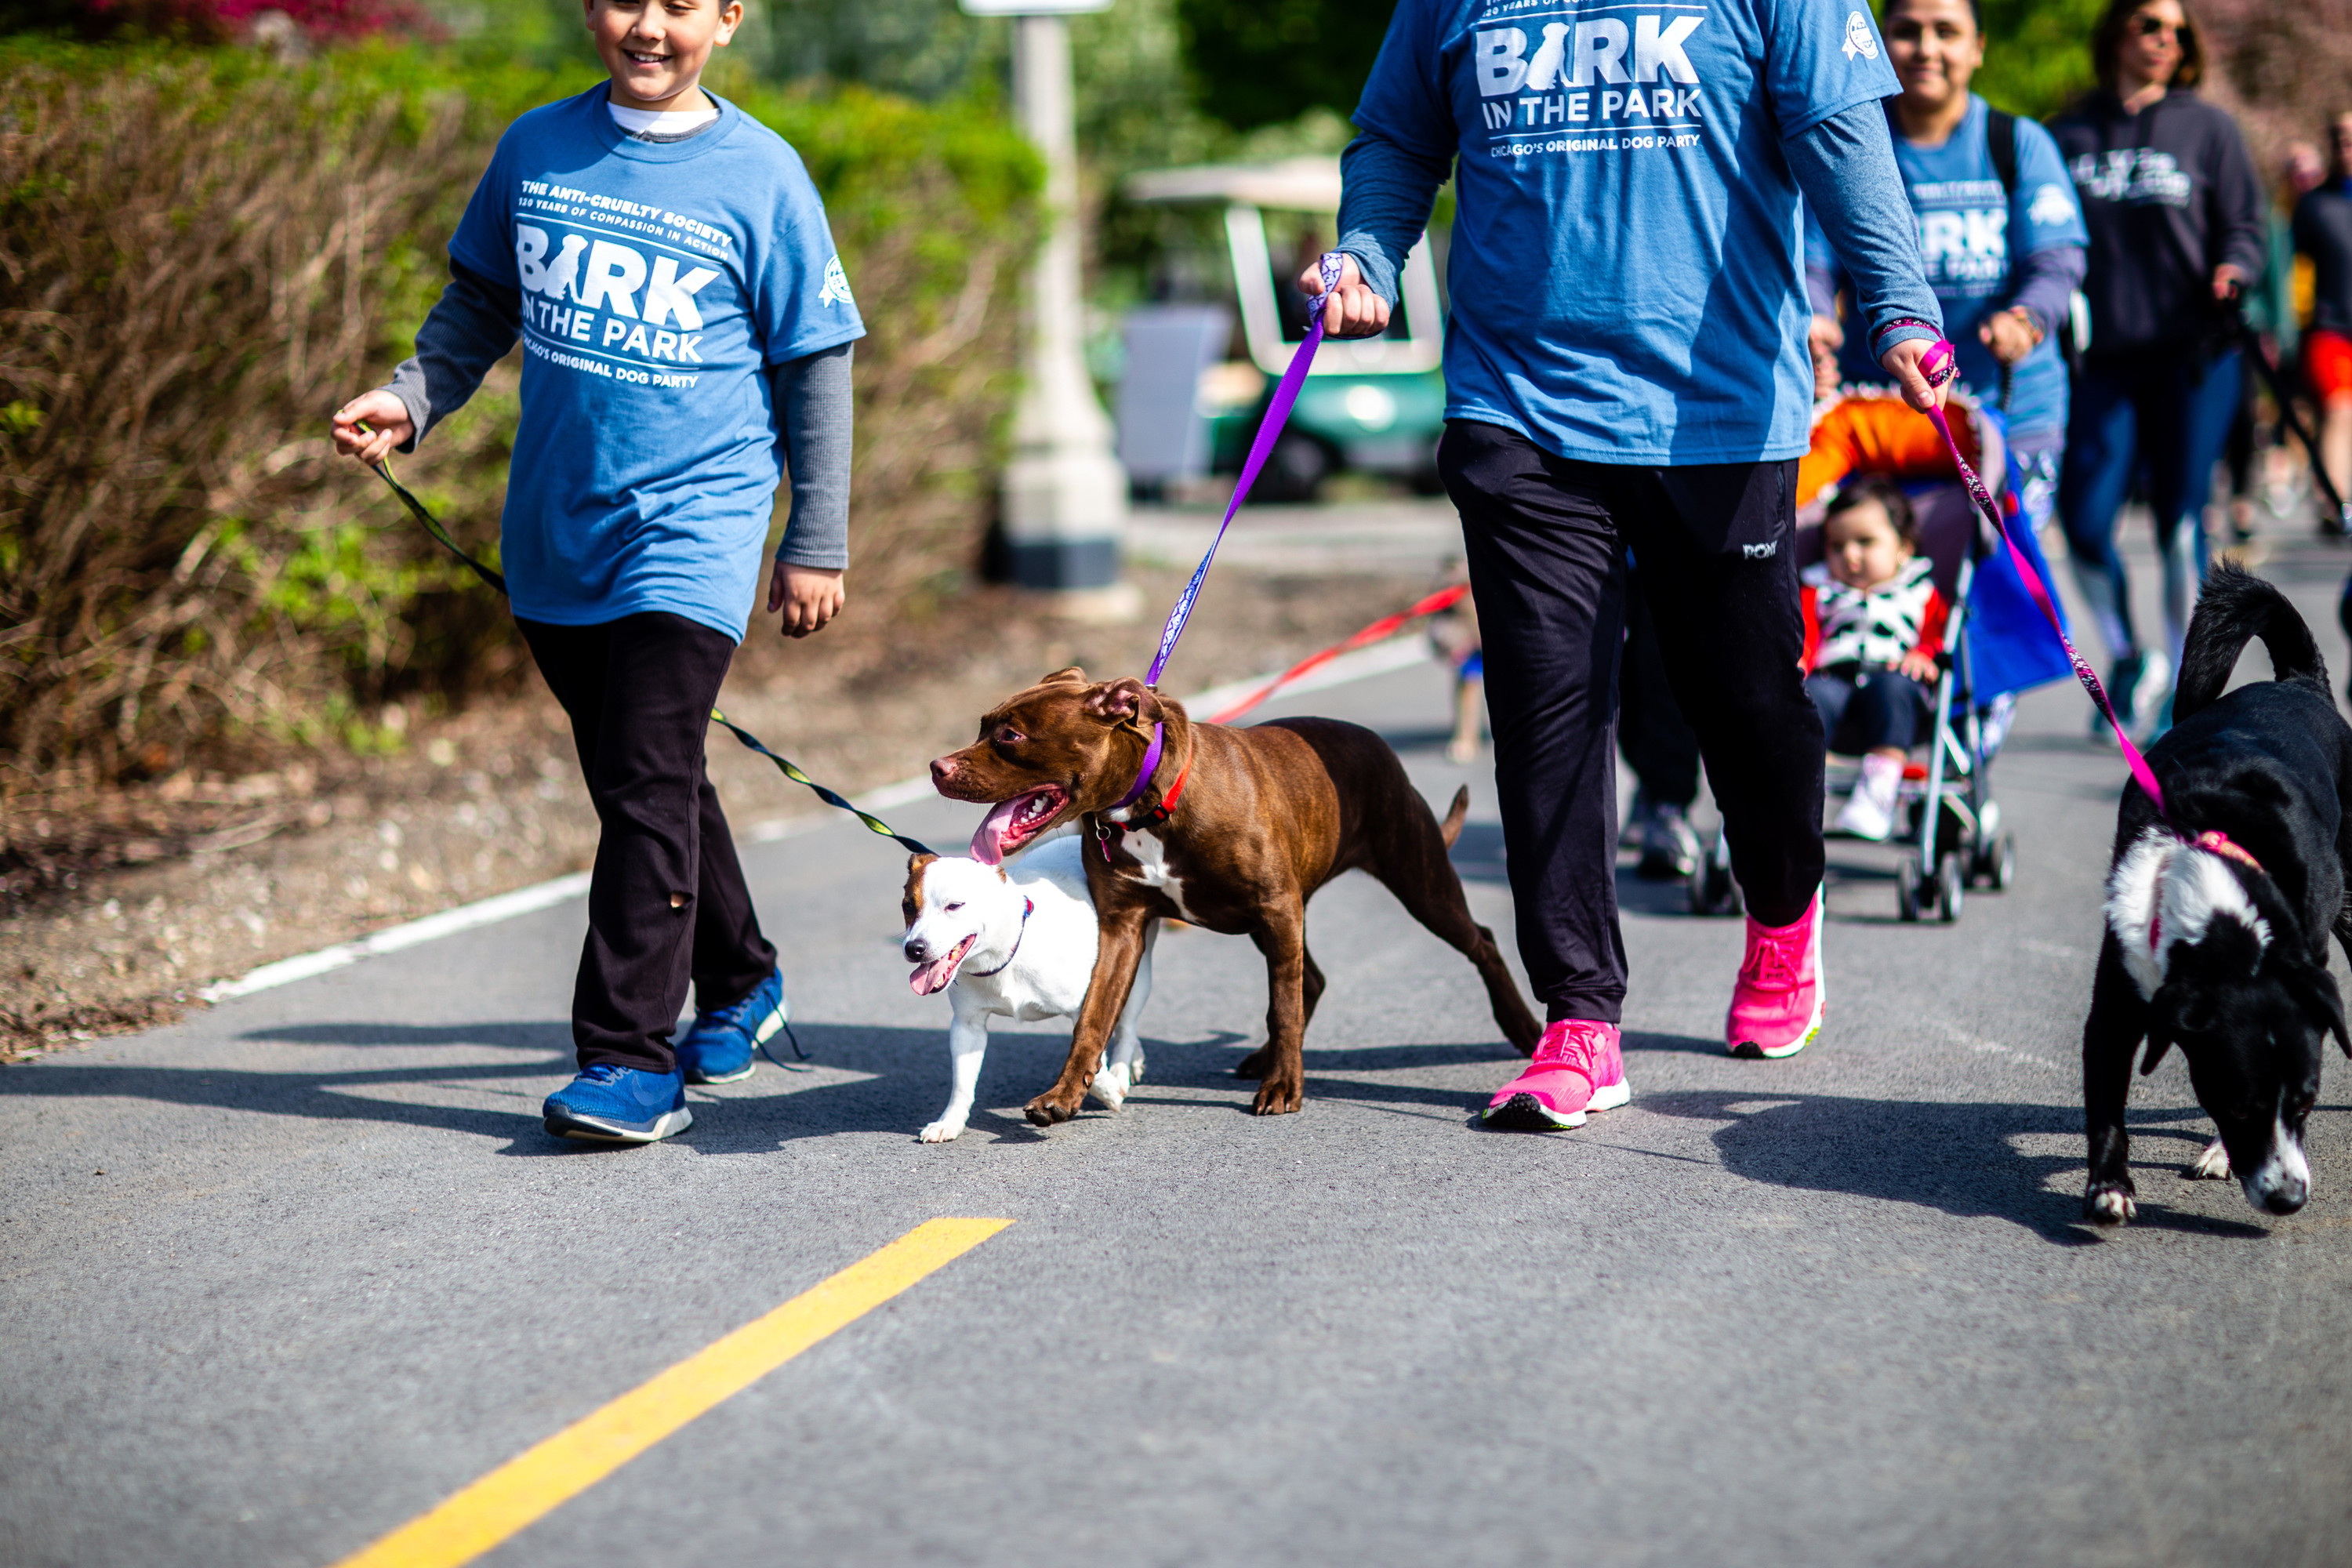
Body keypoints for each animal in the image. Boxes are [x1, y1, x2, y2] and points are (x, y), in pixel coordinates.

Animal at [898, 832, 1157, 1142]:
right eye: (908, 906)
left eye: (954, 906)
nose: (913, 948)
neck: (1005, 952)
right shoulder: (967, 1026)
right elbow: (961, 1083)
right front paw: (950, 1122)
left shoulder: (1084, 1006)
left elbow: (1088, 1043)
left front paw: (1106, 1089)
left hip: (1133, 967)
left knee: (1127, 1026)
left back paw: (1121, 1069)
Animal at [927, 667, 1552, 1123]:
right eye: (984, 725)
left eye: (1009, 736)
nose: (936, 765)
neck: (1151, 804)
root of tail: (1376, 745)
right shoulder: (1123, 926)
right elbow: (1095, 1016)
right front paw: (1063, 1096)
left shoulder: (1276, 907)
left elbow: (1283, 1003)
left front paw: (1285, 1087)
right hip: (1273, 919)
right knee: (1311, 978)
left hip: (1415, 879)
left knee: (1480, 941)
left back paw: (1521, 1027)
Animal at [2089, 564, 2343, 1222]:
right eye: (2239, 1105)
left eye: (2307, 1103)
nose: (2289, 1199)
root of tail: (2300, 682)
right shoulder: (2116, 1002)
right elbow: (2106, 1104)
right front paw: (2109, 1186)